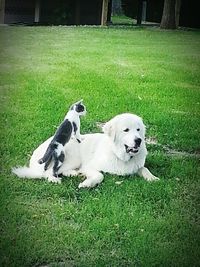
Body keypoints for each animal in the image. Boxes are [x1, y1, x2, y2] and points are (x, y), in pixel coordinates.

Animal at [12, 113, 159, 188]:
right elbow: (100, 175)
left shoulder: (138, 165)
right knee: (48, 172)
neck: (119, 155)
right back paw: (55, 179)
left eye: (138, 130)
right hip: (71, 156)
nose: (138, 140)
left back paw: (74, 173)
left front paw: (153, 178)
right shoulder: (90, 166)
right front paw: (87, 183)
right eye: (126, 130)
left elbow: (144, 168)